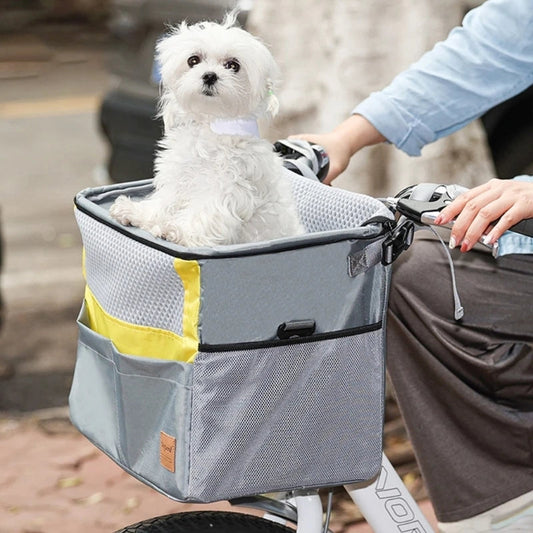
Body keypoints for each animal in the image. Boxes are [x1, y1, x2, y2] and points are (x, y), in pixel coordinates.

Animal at [109, 14, 304, 247]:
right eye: (193, 60)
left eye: (233, 65)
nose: (209, 76)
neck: (209, 126)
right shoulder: (178, 177)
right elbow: (164, 202)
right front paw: (137, 212)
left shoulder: (226, 189)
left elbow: (205, 213)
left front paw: (178, 231)